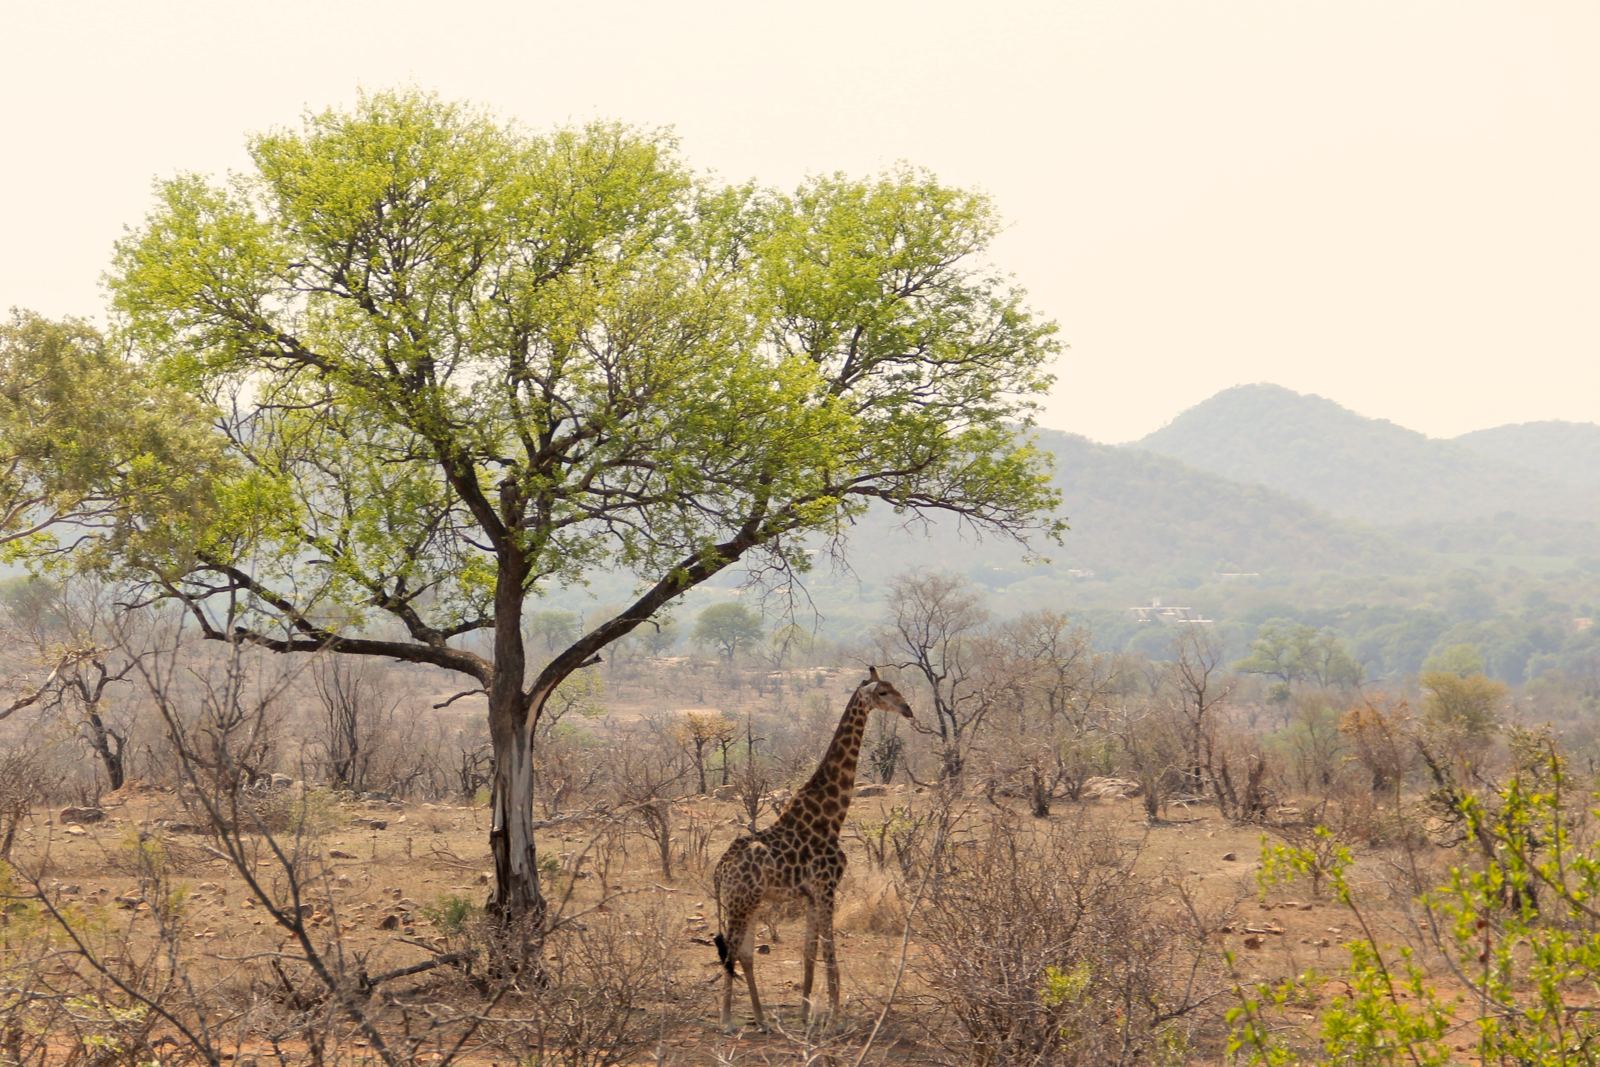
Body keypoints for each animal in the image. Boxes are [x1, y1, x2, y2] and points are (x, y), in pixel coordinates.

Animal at [713, 667, 913, 1032]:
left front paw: (807, 1014)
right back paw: (727, 1020)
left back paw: (761, 1018)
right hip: (740, 901)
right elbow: (830, 951)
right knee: (731, 950)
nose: (907, 709)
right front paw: (834, 1017)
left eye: (895, 688)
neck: (831, 816)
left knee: (745, 952)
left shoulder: (809, 894)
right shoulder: (826, 887)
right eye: (882, 693)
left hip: (749, 901)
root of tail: (719, 870)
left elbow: (809, 951)